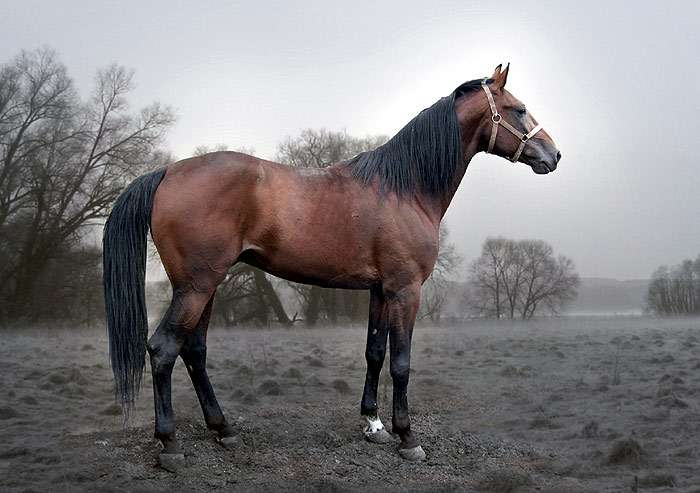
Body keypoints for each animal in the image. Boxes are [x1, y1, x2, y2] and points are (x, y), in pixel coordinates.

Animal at [102, 63, 564, 468]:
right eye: (518, 109)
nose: (554, 155)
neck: (405, 188)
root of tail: (168, 171)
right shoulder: (406, 290)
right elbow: (401, 362)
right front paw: (407, 437)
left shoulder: (380, 290)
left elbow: (375, 353)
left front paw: (373, 424)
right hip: (197, 286)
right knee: (164, 350)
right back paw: (170, 445)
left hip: (205, 286)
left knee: (193, 351)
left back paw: (224, 430)